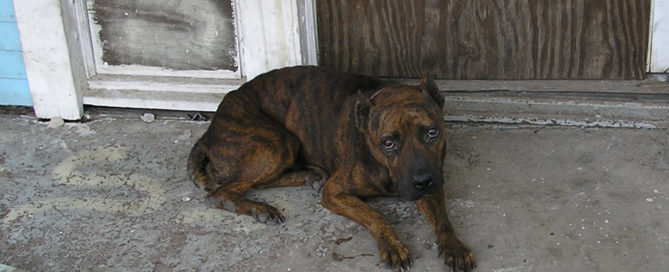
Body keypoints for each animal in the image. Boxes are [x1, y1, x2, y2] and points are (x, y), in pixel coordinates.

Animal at [188, 66, 474, 272]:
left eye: (432, 132)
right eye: (388, 143)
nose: (423, 181)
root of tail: (210, 130)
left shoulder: (434, 183)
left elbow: (442, 220)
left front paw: (454, 246)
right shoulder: (335, 193)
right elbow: (376, 215)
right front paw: (391, 244)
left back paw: (309, 175)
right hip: (277, 144)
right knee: (221, 192)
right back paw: (260, 208)